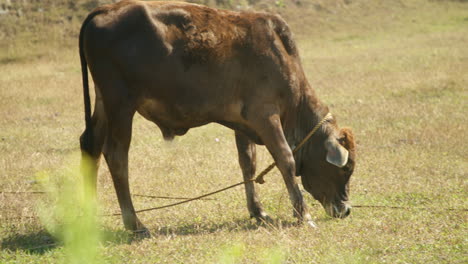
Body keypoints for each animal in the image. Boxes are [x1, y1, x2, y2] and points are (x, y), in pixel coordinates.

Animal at [79, 0, 354, 235]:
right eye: (346, 169)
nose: (346, 210)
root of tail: (106, 9)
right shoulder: (265, 115)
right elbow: (286, 159)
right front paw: (303, 215)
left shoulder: (244, 123)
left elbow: (248, 163)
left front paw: (258, 210)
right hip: (120, 104)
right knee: (116, 156)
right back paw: (135, 223)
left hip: (104, 102)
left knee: (90, 146)